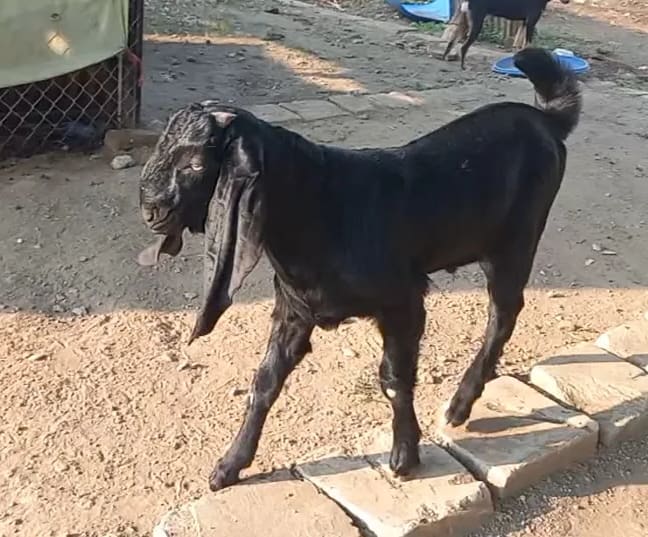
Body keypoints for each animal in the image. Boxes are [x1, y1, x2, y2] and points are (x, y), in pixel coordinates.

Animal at [138, 48, 581, 492]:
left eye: (196, 164)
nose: (150, 209)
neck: (321, 206)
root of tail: (545, 119)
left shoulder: (404, 301)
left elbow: (394, 378)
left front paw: (404, 457)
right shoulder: (294, 309)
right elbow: (264, 381)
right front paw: (229, 466)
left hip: (515, 242)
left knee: (503, 313)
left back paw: (459, 405)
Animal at [442, 0, 570, 69]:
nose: (568, 1)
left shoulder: (524, 23)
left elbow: (518, 45)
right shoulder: (531, 22)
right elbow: (528, 43)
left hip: (463, 22)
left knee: (452, 41)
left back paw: (445, 57)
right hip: (477, 24)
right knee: (464, 46)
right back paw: (464, 66)